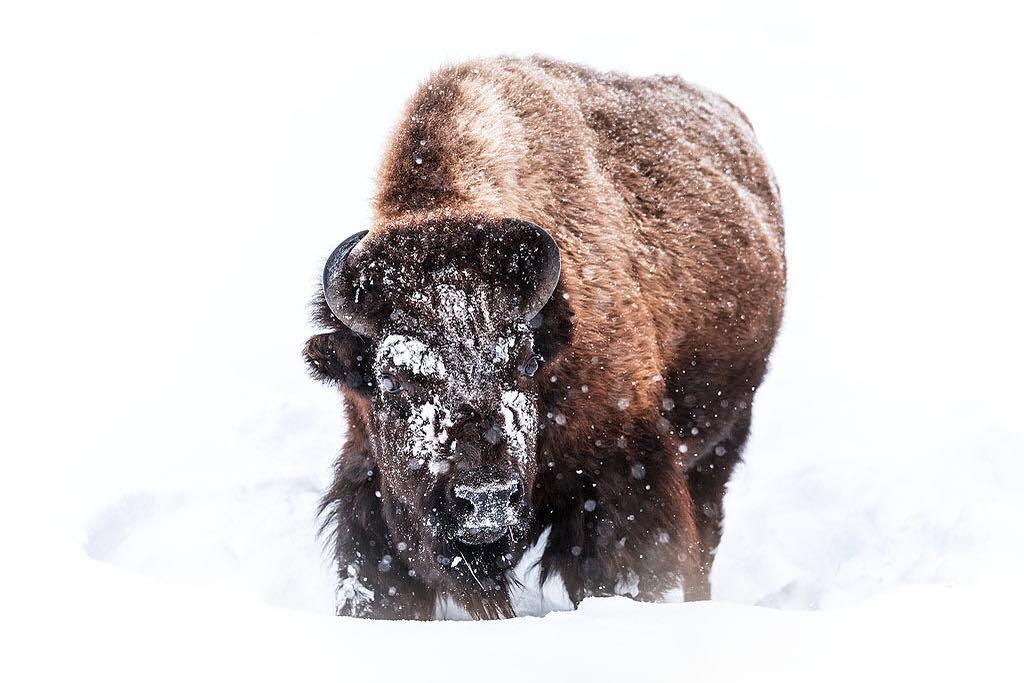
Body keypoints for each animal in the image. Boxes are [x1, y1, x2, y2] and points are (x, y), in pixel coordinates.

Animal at [303, 57, 782, 618]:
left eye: (526, 363)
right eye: (394, 379)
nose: (485, 501)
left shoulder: (619, 473)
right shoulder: (370, 486)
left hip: (721, 442)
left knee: (703, 537)